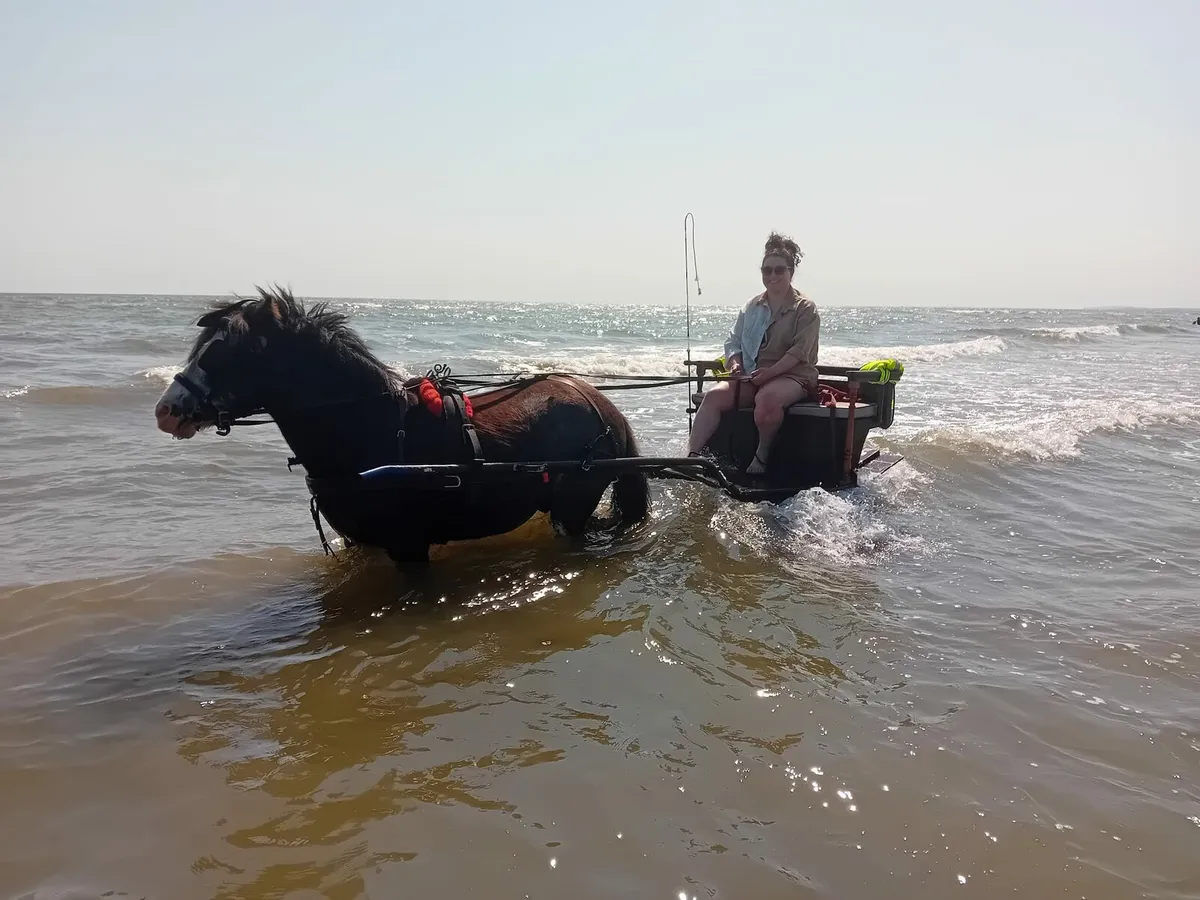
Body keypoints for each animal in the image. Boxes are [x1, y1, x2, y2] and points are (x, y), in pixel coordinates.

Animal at [153, 287, 650, 563]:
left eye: (225, 352)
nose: (166, 410)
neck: (369, 428)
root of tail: (601, 405)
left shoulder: (408, 546)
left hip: (571, 509)